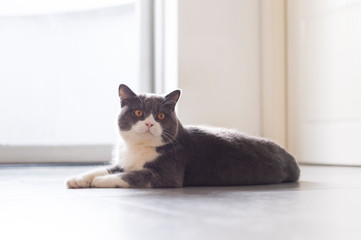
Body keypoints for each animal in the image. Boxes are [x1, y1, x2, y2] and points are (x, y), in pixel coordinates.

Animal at [66, 83, 300, 188]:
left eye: (160, 115)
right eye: (139, 113)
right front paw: (78, 179)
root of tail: (292, 158)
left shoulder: (168, 173)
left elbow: (132, 176)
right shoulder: (125, 161)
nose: (149, 123)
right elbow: (106, 168)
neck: (139, 148)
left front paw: (100, 180)